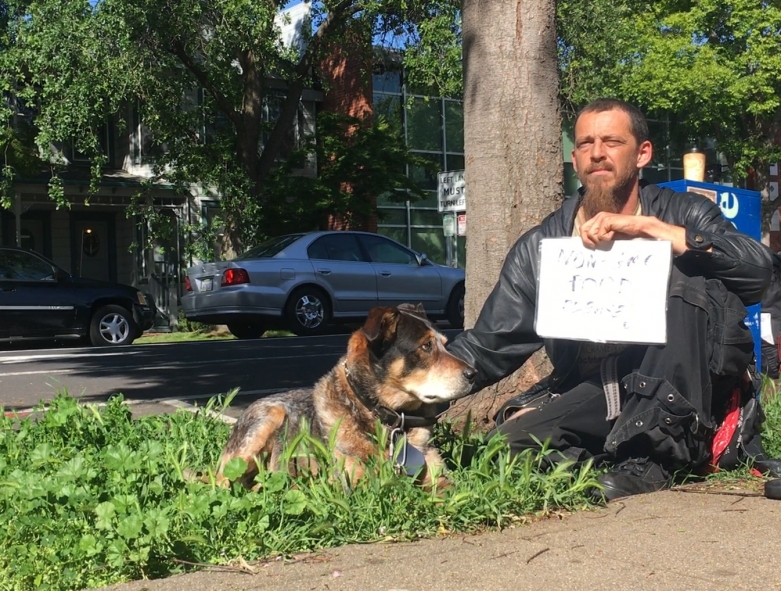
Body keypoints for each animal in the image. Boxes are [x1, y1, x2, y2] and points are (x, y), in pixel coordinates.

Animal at [213, 302, 476, 488]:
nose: (473, 373)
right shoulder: (351, 484)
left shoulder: (439, 479)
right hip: (264, 422)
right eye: (426, 346)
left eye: (445, 344)